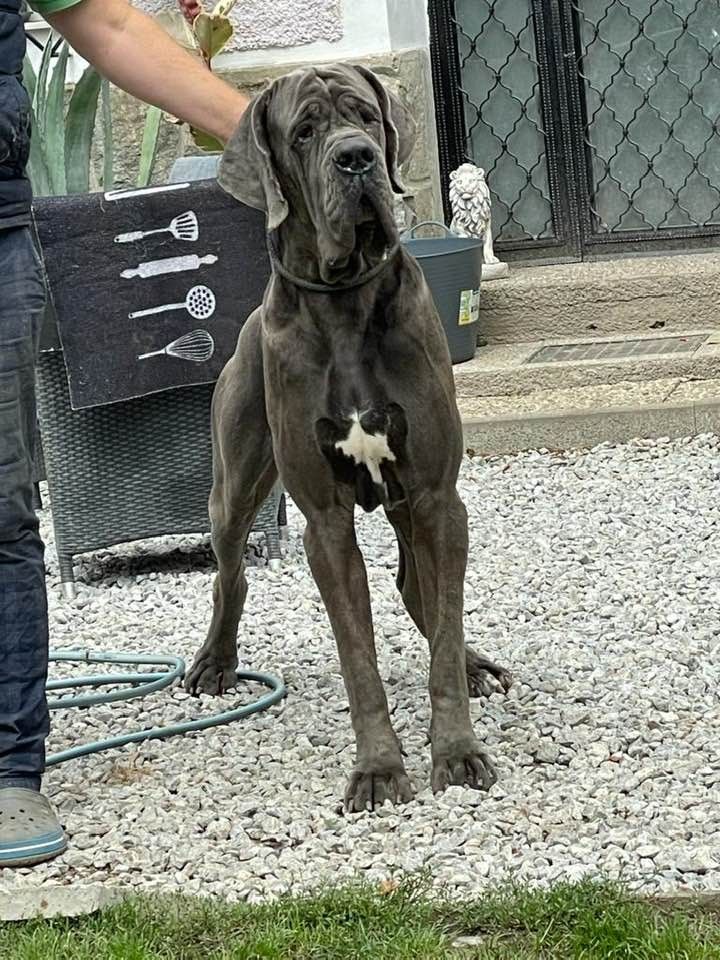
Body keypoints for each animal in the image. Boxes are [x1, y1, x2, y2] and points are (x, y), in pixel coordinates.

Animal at [185, 64, 512, 811]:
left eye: (364, 114)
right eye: (305, 131)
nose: (358, 158)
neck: (343, 301)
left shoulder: (436, 496)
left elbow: (444, 623)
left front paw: (455, 749)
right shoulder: (325, 522)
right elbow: (356, 654)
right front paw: (379, 768)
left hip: (409, 507)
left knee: (425, 591)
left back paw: (473, 662)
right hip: (233, 489)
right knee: (230, 573)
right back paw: (215, 662)